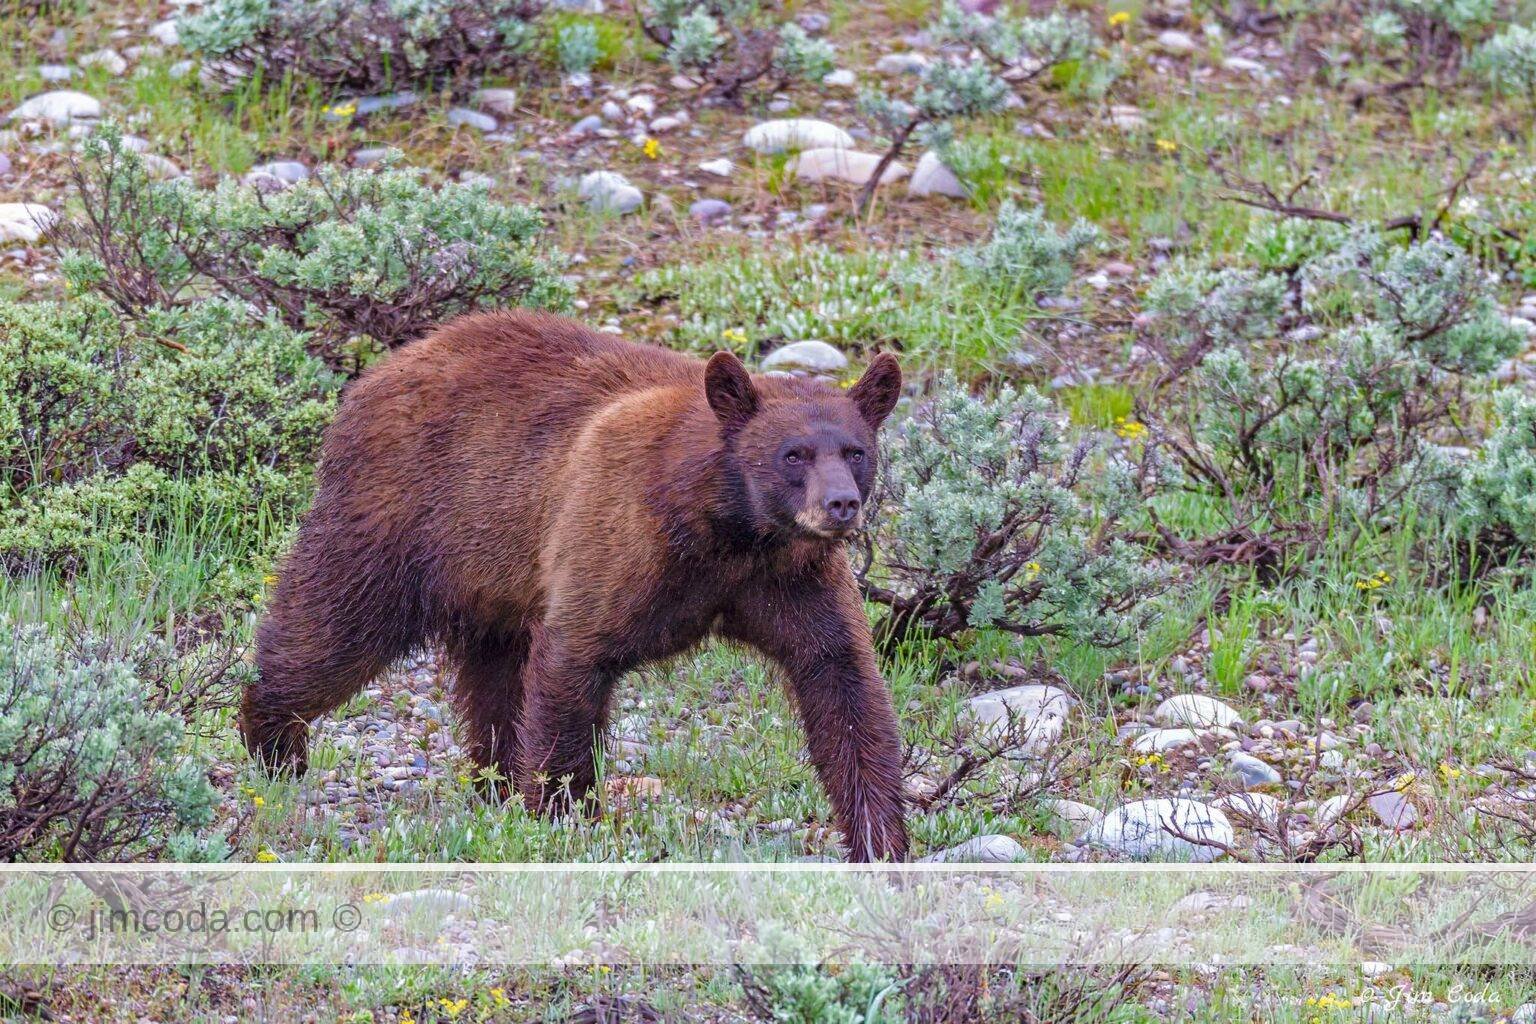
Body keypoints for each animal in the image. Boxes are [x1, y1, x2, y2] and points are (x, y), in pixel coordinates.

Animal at [240, 309, 909, 861]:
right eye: (793, 454)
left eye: (854, 450)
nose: (840, 504)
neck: (726, 527)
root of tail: (377, 373)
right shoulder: (615, 534)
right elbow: (573, 660)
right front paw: (565, 815)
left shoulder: (791, 576)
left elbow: (842, 681)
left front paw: (880, 838)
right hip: (400, 513)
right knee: (333, 626)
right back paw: (274, 741)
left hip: (491, 572)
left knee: (493, 676)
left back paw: (496, 781)